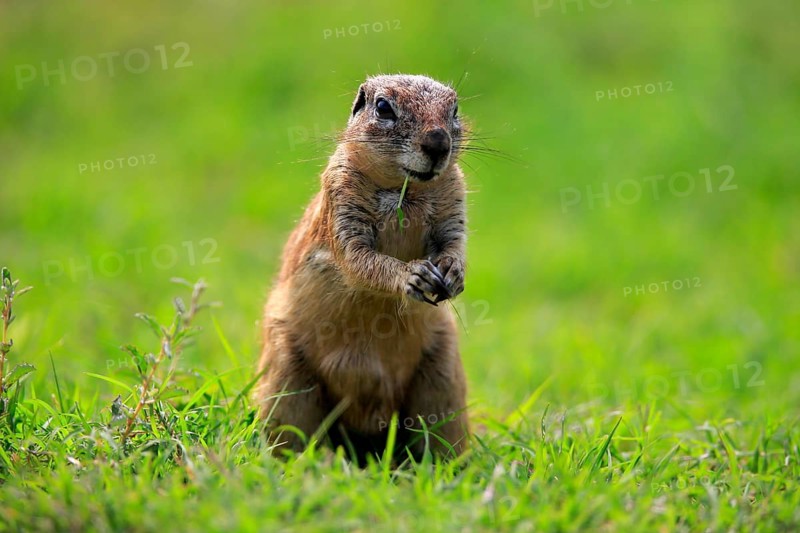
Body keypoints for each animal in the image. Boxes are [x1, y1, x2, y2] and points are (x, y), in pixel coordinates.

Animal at [255, 74, 469, 463]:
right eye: (383, 107)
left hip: (442, 381)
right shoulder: (341, 202)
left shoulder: (454, 200)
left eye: (455, 109)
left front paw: (454, 272)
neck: (404, 189)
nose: (438, 143)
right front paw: (412, 275)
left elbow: (454, 242)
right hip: (286, 381)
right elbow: (360, 260)